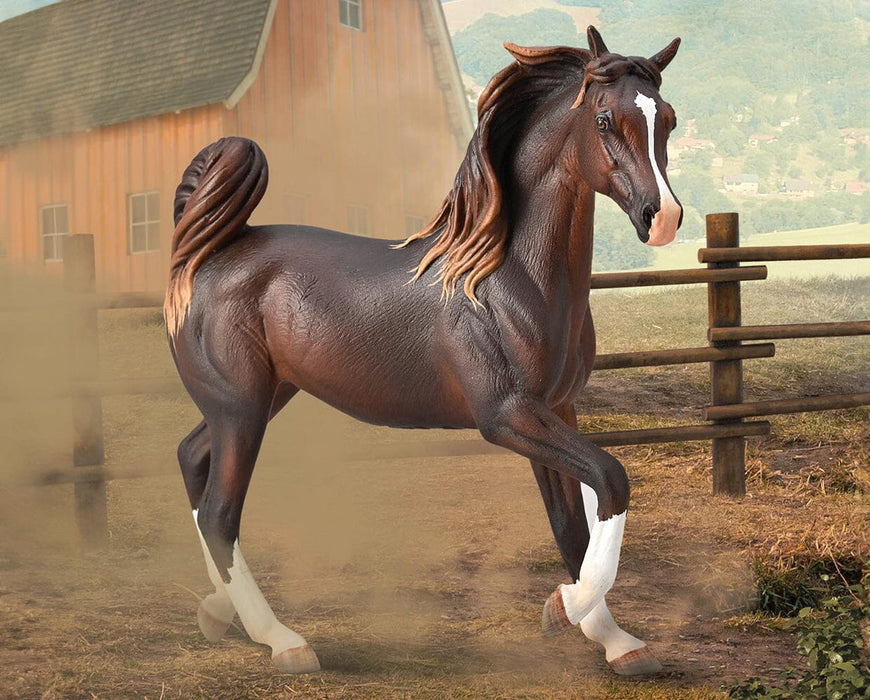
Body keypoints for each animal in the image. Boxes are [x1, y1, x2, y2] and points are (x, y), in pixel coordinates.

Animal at [167, 28, 684, 680]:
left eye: (667, 117)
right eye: (604, 119)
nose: (662, 218)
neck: (504, 279)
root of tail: (208, 255)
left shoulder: (557, 410)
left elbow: (572, 526)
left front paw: (616, 641)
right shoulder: (507, 416)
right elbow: (612, 480)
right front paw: (564, 611)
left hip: (254, 400)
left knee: (192, 462)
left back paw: (217, 613)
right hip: (241, 409)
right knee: (219, 513)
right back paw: (283, 641)